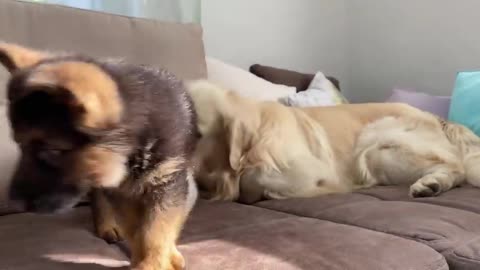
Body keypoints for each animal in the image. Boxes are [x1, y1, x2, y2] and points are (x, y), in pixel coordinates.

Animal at [0, 43, 199, 270]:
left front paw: (155, 260)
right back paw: (106, 226)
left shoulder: (169, 183)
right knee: (99, 199)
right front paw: (142, 259)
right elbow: (137, 230)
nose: (14, 202)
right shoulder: (122, 192)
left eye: (52, 151)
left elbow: (156, 230)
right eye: (20, 146)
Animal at [187, 80, 480, 202]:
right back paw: (431, 185)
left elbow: (250, 178)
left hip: (374, 144)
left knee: (457, 167)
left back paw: (430, 184)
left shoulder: (312, 169)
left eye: (195, 133)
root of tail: (437, 118)